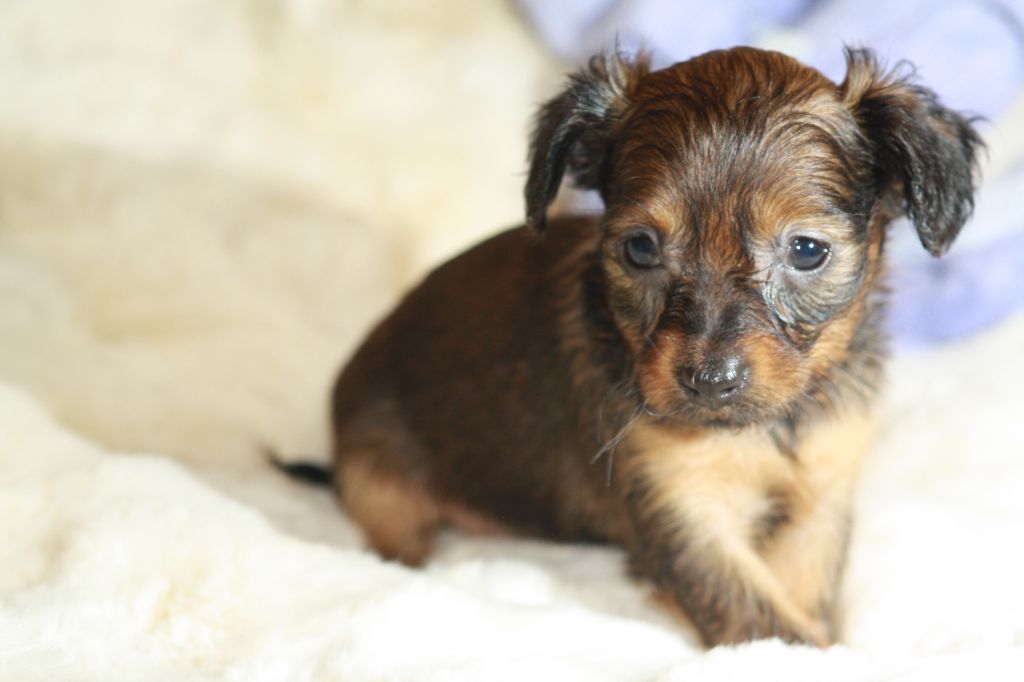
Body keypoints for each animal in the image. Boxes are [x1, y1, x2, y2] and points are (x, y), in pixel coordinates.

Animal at [277, 46, 981, 647]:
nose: (710, 381)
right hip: (381, 484)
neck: (769, 428)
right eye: (639, 248)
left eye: (808, 251)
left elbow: (803, 603)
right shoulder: (680, 512)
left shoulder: (821, 495)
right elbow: (768, 624)